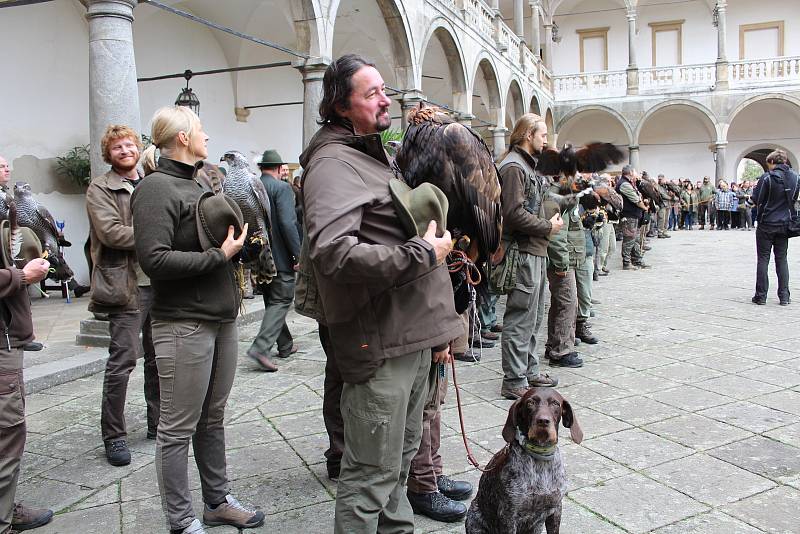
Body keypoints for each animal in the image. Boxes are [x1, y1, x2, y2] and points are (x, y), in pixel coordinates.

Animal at [462, 390, 580, 534]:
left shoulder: (556, 509)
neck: (540, 459)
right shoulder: (508, 515)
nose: (543, 421)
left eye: (555, 404)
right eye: (530, 403)